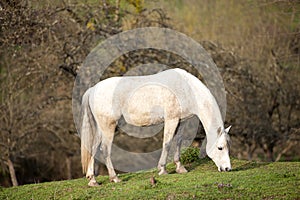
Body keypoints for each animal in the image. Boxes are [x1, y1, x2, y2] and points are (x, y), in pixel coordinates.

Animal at [80, 68, 232, 186]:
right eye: (220, 147)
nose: (227, 169)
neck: (186, 88)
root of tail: (93, 90)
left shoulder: (182, 121)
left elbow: (178, 141)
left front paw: (180, 168)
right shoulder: (171, 119)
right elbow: (167, 143)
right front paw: (162, 170)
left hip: (101, 129)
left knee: (93, 148)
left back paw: (93, 180)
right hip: (108, 127)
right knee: (105, 149)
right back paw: (114, 178)